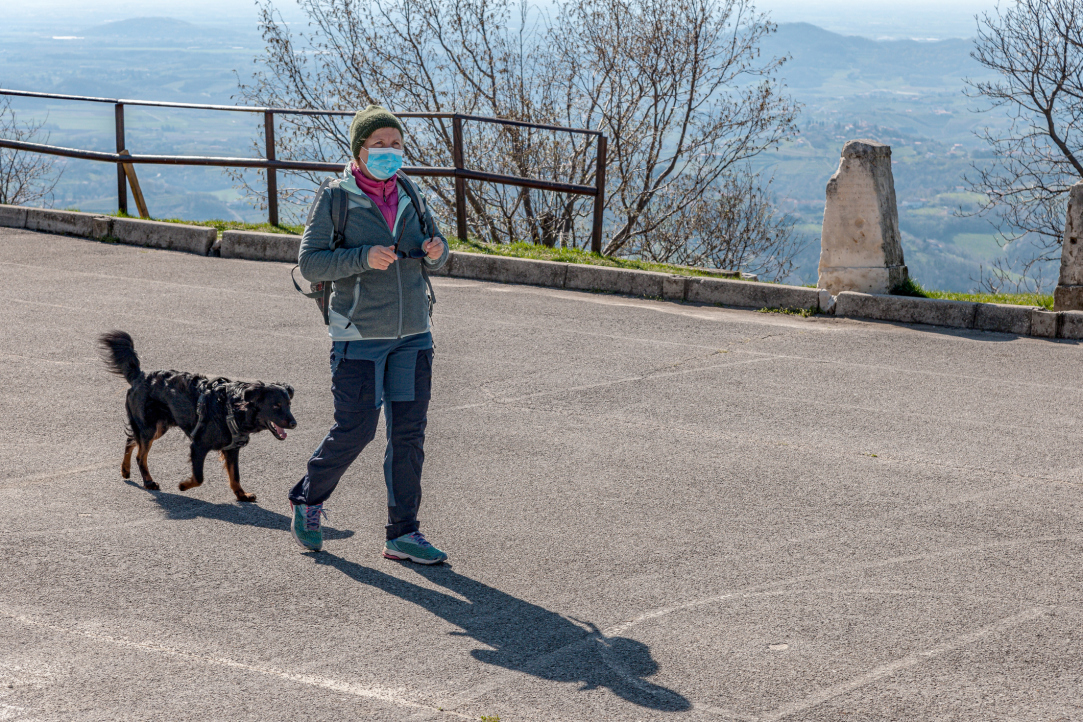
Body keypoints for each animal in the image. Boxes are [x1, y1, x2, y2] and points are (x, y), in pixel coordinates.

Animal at [98, 331, 296, 500]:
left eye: (289, 404)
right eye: (276, 406)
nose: (294, 423)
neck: (231, 408)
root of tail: (139, 375)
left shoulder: (232, 449)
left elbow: (235, 475)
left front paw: (242, 495)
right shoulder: (198, 445)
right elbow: (199, 477)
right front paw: (183, 485)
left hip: (158, 426)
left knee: (131, 440)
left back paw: (125, 469)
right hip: (149, 427)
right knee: (141, 455)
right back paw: (148, 482)